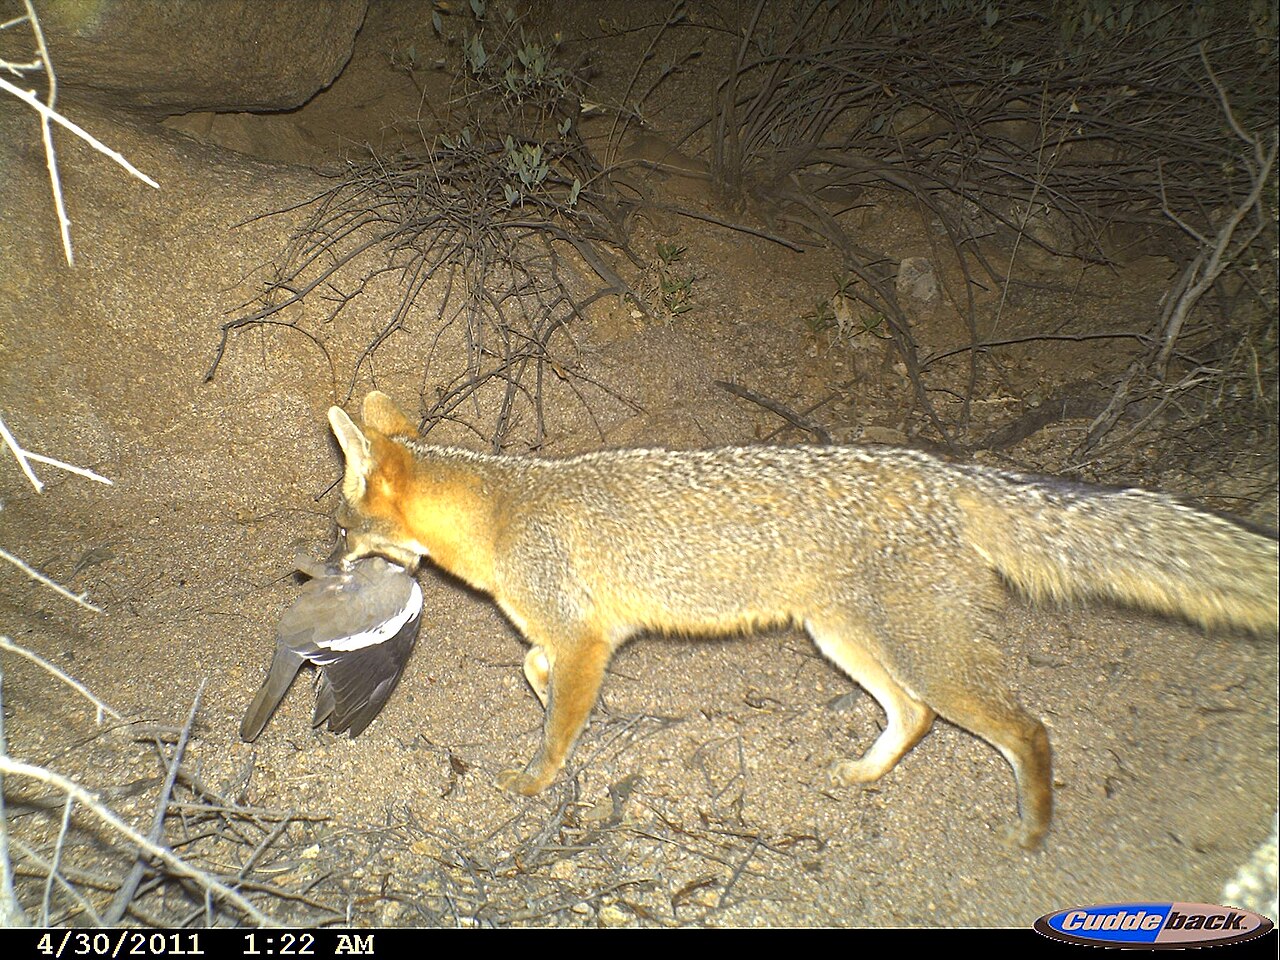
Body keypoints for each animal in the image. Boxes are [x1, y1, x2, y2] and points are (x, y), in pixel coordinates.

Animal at [324, 390, 1278, 848]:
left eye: (339, 530)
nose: (324, 567)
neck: (503, 513)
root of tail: (945, 473)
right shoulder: (576, 637)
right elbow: (535, 670)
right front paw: (538, 698)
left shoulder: (587, 638)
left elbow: (558, 725)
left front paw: (532, 785)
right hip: (845, 640)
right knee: (915, 717)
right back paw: (864, 774)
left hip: (924, 657)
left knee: (1029, 730)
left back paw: (1033, 831)